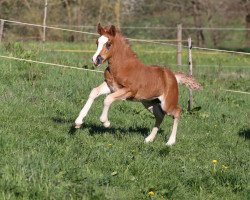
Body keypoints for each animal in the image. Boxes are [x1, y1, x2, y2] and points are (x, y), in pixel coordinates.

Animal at [73, 23, 201, 145]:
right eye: (97, 42)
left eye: (108, 44)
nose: (96, 60)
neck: (122, 67)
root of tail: (173, 76)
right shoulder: (111, 86)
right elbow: (94, 92)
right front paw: (78, 121)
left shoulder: (129, 90)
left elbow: (107, 99)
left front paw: (106, 122)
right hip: (149, 103)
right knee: (160, 116)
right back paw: (149, 139)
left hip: (167, 104)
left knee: (177, 112)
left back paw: (170, 142)